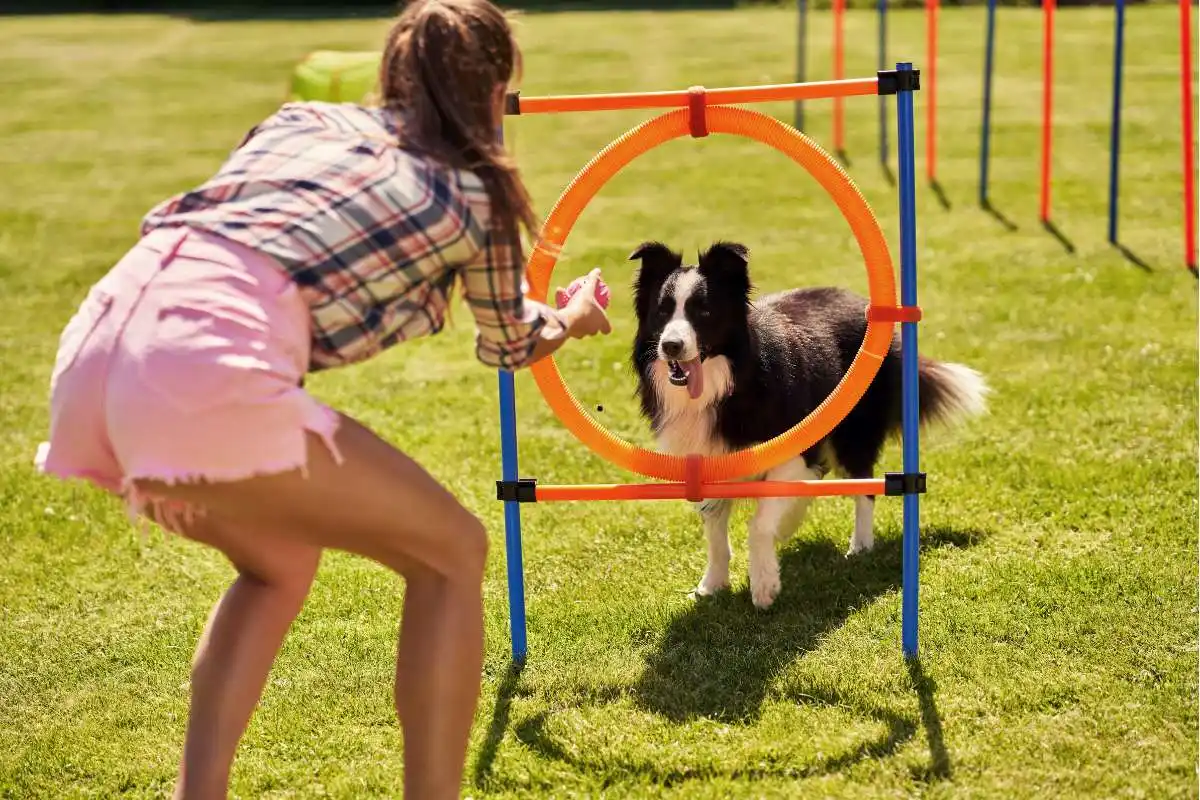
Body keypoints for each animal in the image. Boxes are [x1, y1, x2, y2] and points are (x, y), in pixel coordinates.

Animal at [628, 241, 984, 609]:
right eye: (662, 312)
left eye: (704, 312)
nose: (671, 346)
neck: (726, 383)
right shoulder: (705, 461)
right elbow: (714, 529)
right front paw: (711, 585)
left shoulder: (793, 450)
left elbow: (759, 523)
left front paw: (764, 585)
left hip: (853, 433)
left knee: (865, 486)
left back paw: (860, 545)